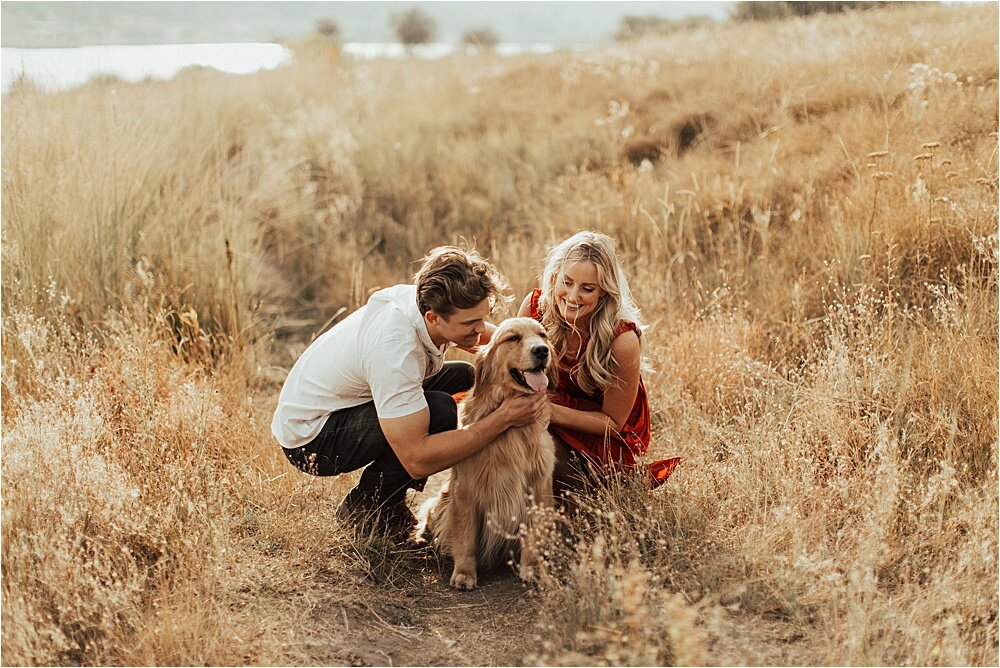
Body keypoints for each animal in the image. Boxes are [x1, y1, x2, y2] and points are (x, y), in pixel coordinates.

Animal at [414, 318, 556, 588]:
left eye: (543, 335)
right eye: (513, 338)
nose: (542, 351)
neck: (513, 430)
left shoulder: (539, 487)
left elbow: (533, 536)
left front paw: (532, 569)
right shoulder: (466, 490)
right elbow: (466, 536)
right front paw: (464, 573)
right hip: (443, 498)